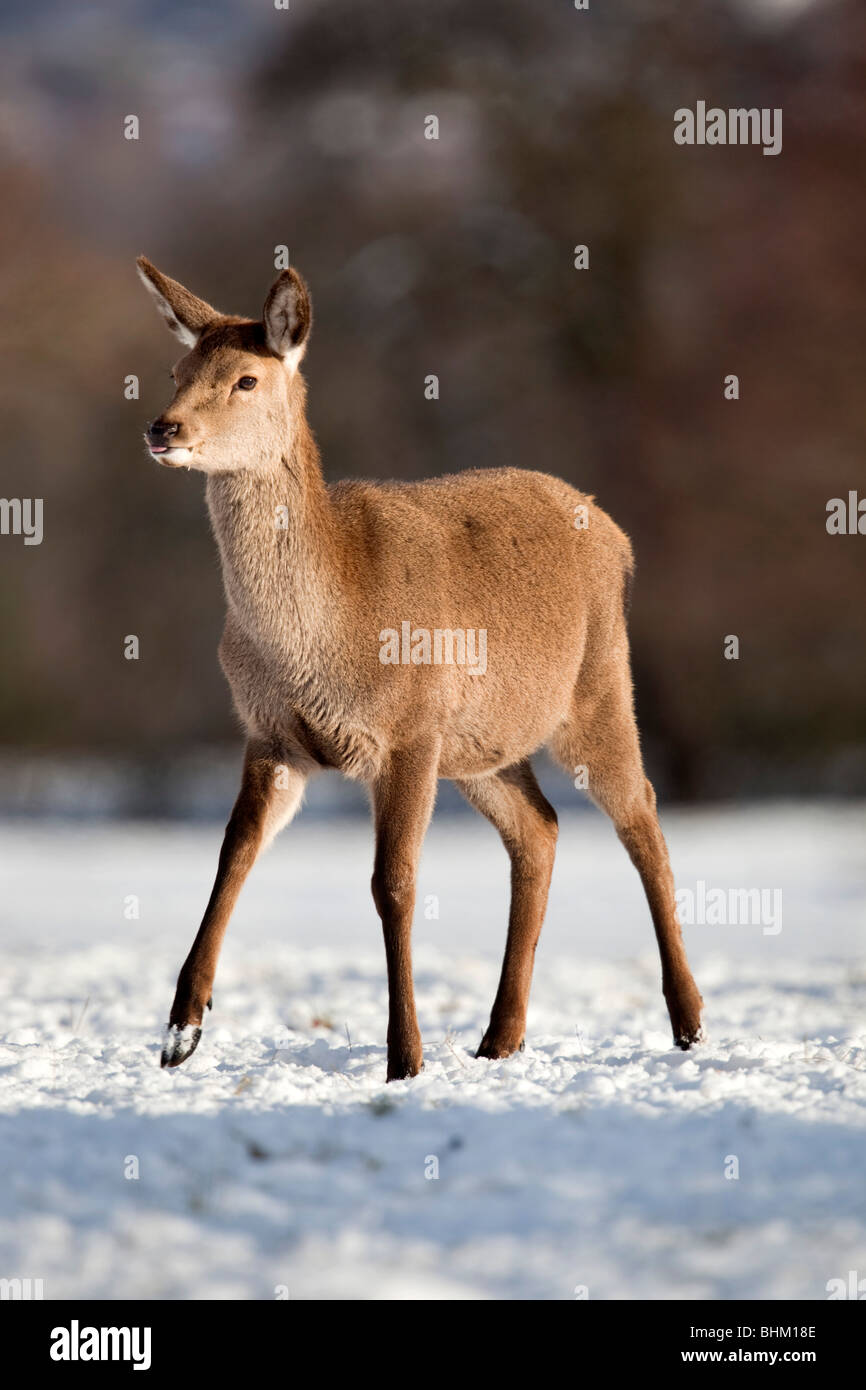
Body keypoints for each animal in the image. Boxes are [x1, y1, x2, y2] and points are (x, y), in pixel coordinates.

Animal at [136, 255, 706, 1078]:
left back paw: (688, 1021)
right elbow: (231, 857)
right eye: (177, 370)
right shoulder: (271, 735)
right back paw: (501, 1037)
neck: (325, 633)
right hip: (479, 748)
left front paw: (404, 1056)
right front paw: (181, 1030)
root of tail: (615, 531)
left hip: (597, 689)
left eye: (245, 378)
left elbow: (394, 883)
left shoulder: (409, 729)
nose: (163, 427)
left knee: (643, 819)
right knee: (540, 829)